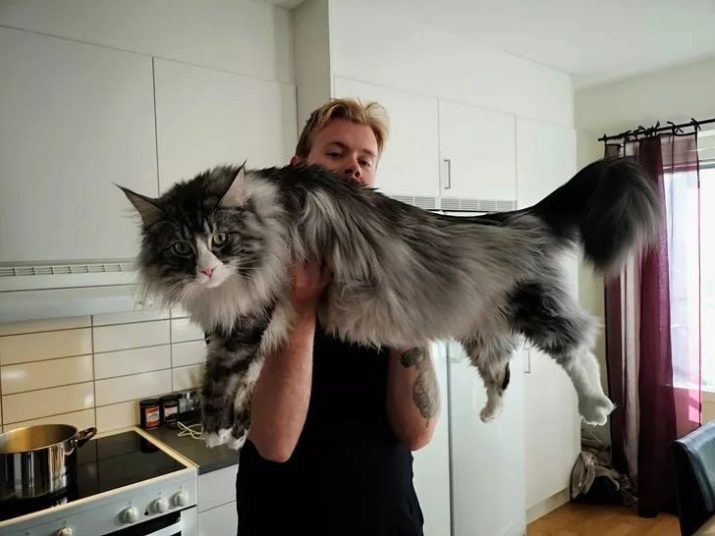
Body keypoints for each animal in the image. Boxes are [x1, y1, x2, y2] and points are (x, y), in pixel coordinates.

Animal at [119, 156, 660, 449]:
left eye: (221, 238)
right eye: (181, 249)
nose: (207, 270)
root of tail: (512, 218)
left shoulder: (250, 316)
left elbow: (222, 377)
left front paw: (214, 430)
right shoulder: (250, 325)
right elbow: (246, 380)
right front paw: (237, 432)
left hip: (534, 305)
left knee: (579, 345)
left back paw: (596, 406)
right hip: (483, 331)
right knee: (501, 374)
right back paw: (489, 414)